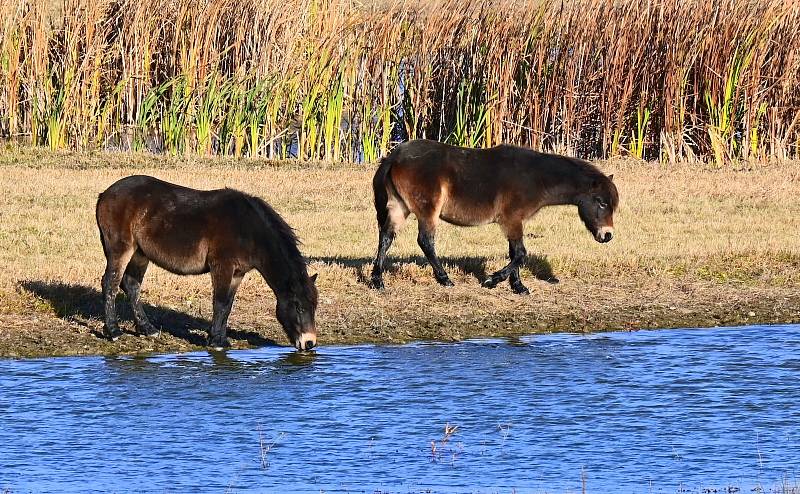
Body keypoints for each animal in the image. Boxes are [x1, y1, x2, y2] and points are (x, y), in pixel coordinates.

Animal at [96, 176, 316, 350]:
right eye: (298, 307)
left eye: (314, 306)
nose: (309, 343)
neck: (248, 230)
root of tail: (105, 194)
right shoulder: (222, 266)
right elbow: (219, 302)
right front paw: (217, 342)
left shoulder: (237, 273)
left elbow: (227, 305)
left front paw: (218, 337)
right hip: (121, 250)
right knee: (110, 284)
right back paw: (113, 331)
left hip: (140, 254)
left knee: (131, 285)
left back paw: (148, 329)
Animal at [370, 139, 620, 294]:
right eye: (601, 202)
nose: (607, 235)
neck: (536, 178)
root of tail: (394, 157)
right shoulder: (512, 220)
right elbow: (520, 254)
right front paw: (493, 280)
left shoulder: (513, 223)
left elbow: (514, 253)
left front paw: (518, 287)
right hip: (426, 211)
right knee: (425, 241)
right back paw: (445, 279)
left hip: (399, 208)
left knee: (386, 238)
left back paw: (377, 281)